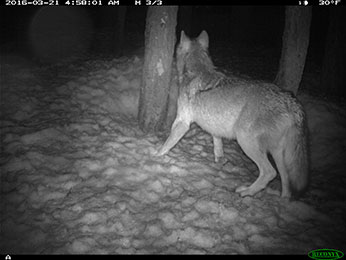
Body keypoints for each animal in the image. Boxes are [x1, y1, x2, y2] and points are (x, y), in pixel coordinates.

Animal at [155, 30, 310, 199]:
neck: (196, 71)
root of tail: (291, 102)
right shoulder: (214, 128)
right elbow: (218, 147)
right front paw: (220, 161)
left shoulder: (182, 122)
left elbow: (167, 143)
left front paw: (155, 156)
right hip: (277, 153)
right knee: (285, 179)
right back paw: (283, 199)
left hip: (245, 141)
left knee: (269, 172)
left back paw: (247, 191)